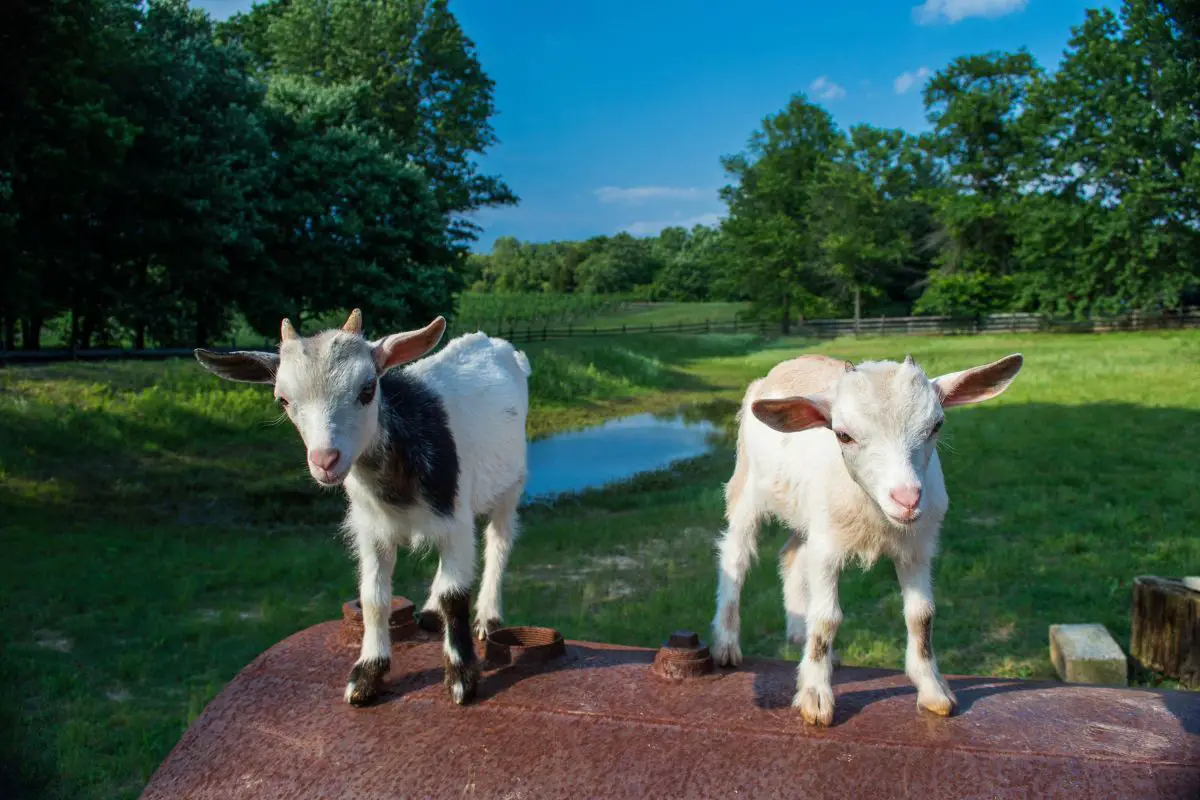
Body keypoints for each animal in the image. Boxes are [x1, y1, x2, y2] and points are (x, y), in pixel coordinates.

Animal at [194, 309, 532, 705]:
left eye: (367, 389)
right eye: (283, 400)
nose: (325, 460)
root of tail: (495, 343)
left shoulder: (455, 521)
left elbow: (455, 595)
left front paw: (461, 679)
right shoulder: (371, 531)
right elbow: (373, 596)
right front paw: (368, 674)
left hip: (511, 485)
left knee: (498, 543)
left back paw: (489, 618)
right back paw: (431, 612)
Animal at [710, 350, 1022, 724]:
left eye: (936, 426)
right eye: (843, 435)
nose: (906, 498)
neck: (876, 516)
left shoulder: (917, 546)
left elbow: (922, 614)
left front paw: (934, 691)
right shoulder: (827, 549)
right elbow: (827, 618)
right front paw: (815, 698)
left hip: (806, 514)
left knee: (791, 554)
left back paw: (799, 633)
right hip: (747, 487)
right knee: (736, 555)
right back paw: (726, 644)